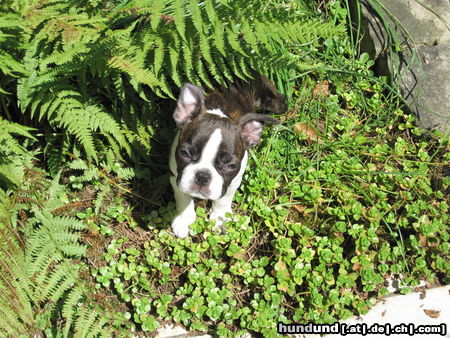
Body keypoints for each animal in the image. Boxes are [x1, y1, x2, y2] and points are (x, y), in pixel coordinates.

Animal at [169, 74, 284, 238]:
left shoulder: (233, 181)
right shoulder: (176, 176)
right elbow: (183, 197)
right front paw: (184, 219)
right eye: (184, 153)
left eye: (230, 166)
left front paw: (220, 218)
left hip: (272, 98)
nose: (202, 176)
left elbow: (223, 199)